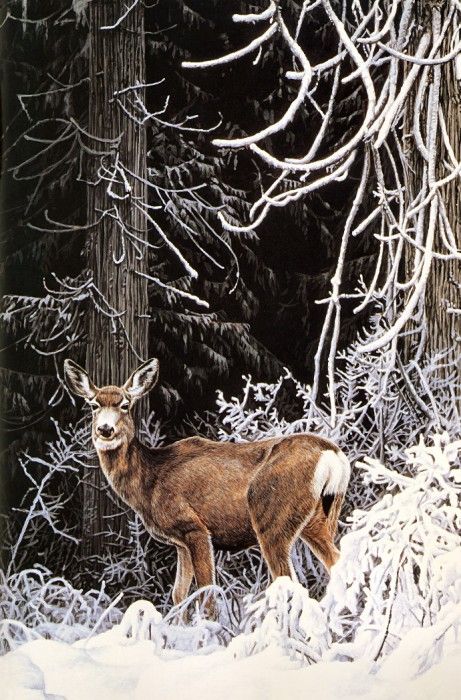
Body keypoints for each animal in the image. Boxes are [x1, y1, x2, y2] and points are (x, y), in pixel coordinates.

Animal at [64, 357, 350, 612]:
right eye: (93, 405)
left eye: (125, 404)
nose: (105, 429)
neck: (150, 480)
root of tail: (333, 455)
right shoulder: (179, 542)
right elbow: (179, 594)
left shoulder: (194, 527)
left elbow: (206, 592)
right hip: (317, 519)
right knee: (338, 564)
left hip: (272, 517)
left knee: (289, 580)